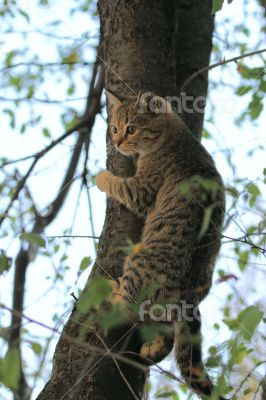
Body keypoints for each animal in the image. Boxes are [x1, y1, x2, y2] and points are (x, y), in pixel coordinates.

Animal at [96, 90, 225, 400]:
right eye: (115, 128)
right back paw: (151, 349)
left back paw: (111, 290)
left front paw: (101, 176)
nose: (117, 142)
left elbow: (119, 185)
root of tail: (187, 297)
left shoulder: (141, 190)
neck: (171, 135)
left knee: (128, 308)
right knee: (165, 332)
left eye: (131, 129)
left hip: (138, 264)